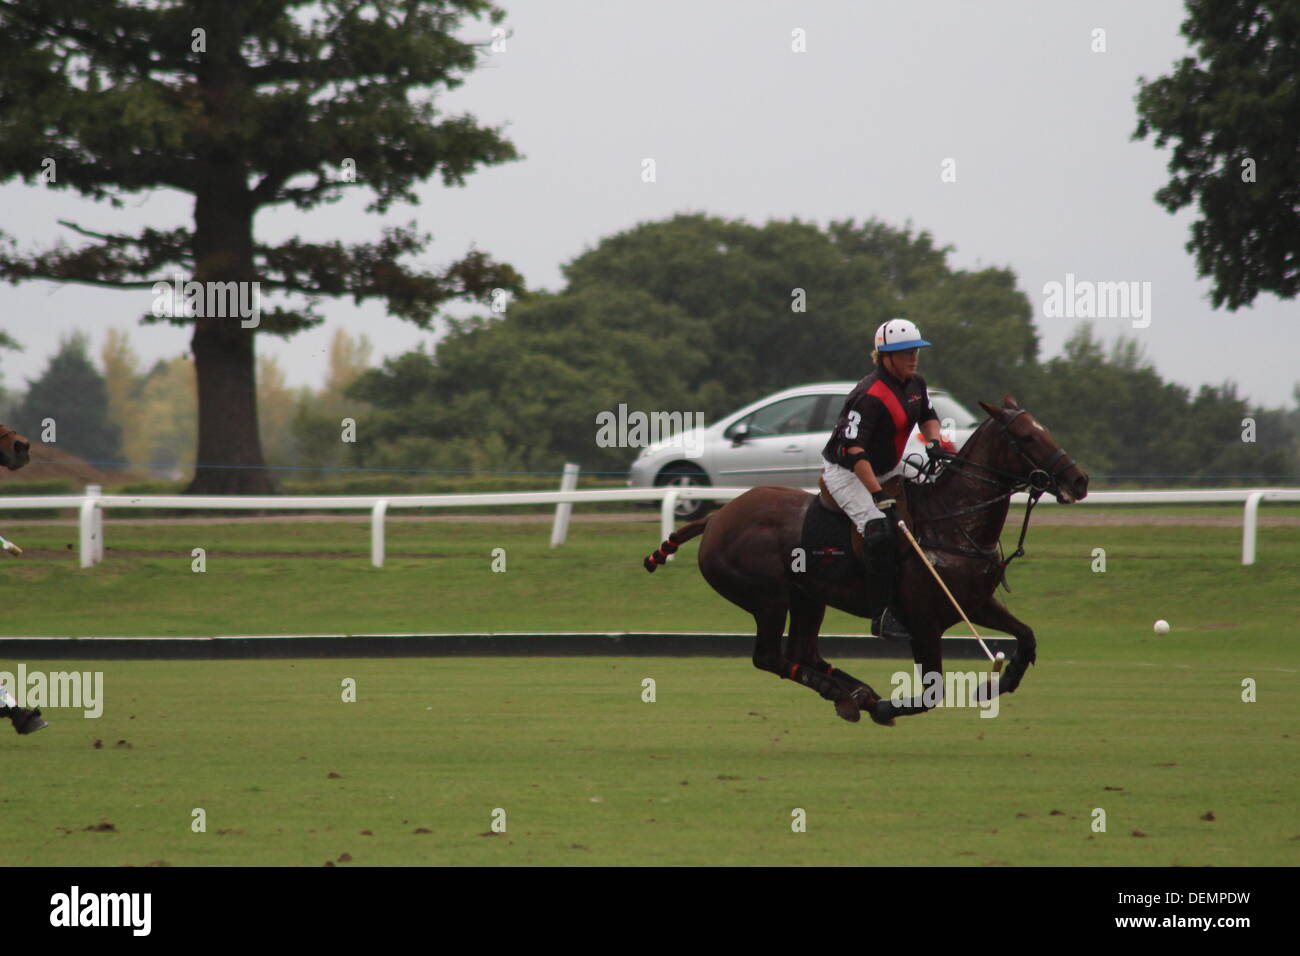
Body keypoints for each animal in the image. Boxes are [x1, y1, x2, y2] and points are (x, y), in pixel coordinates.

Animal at [642, 395, 1086, 723]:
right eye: (1026, 438)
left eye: (1043, 430)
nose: (1079, 480)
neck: (951, 520)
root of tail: (717, 517)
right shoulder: (923, 621)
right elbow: (932, 692)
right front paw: (887, 708)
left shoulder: (975, 602)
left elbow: (1026, 635)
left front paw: (998, 682)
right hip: (768, 597)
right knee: (769, 656)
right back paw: (851, 695)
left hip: (808, 596)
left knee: (802, 651)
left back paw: (853, 692)